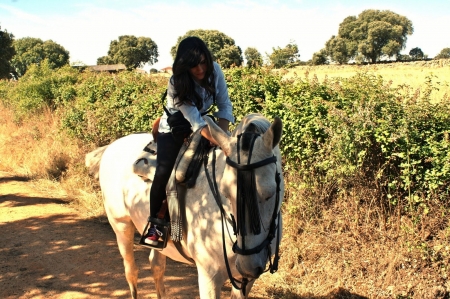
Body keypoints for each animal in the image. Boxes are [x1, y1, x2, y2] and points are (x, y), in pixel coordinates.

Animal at [89, 113, 284, 298]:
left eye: (270, 193)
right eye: (226, 194)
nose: (247, 266)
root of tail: (112, 146)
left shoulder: (245, 281)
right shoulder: (209, 276)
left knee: (156, 266)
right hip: (121, 226)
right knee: (131, 272)